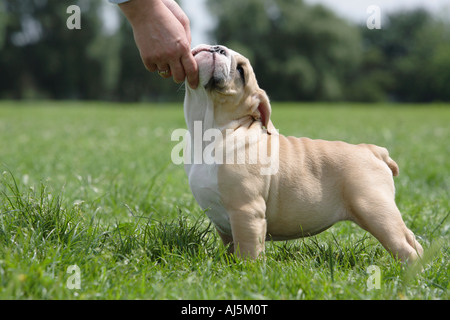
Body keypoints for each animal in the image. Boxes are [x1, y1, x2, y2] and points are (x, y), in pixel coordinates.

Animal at [182, 43, 422, 262]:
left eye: (240, 71)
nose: (217, 48)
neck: (212, 130)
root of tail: (373, 150)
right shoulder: (224, 223)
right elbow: (231, 248)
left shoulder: (246, 212)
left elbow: (248, 252)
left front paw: (247, 272)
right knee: (411, 240)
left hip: (374, 210)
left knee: (403, 247)